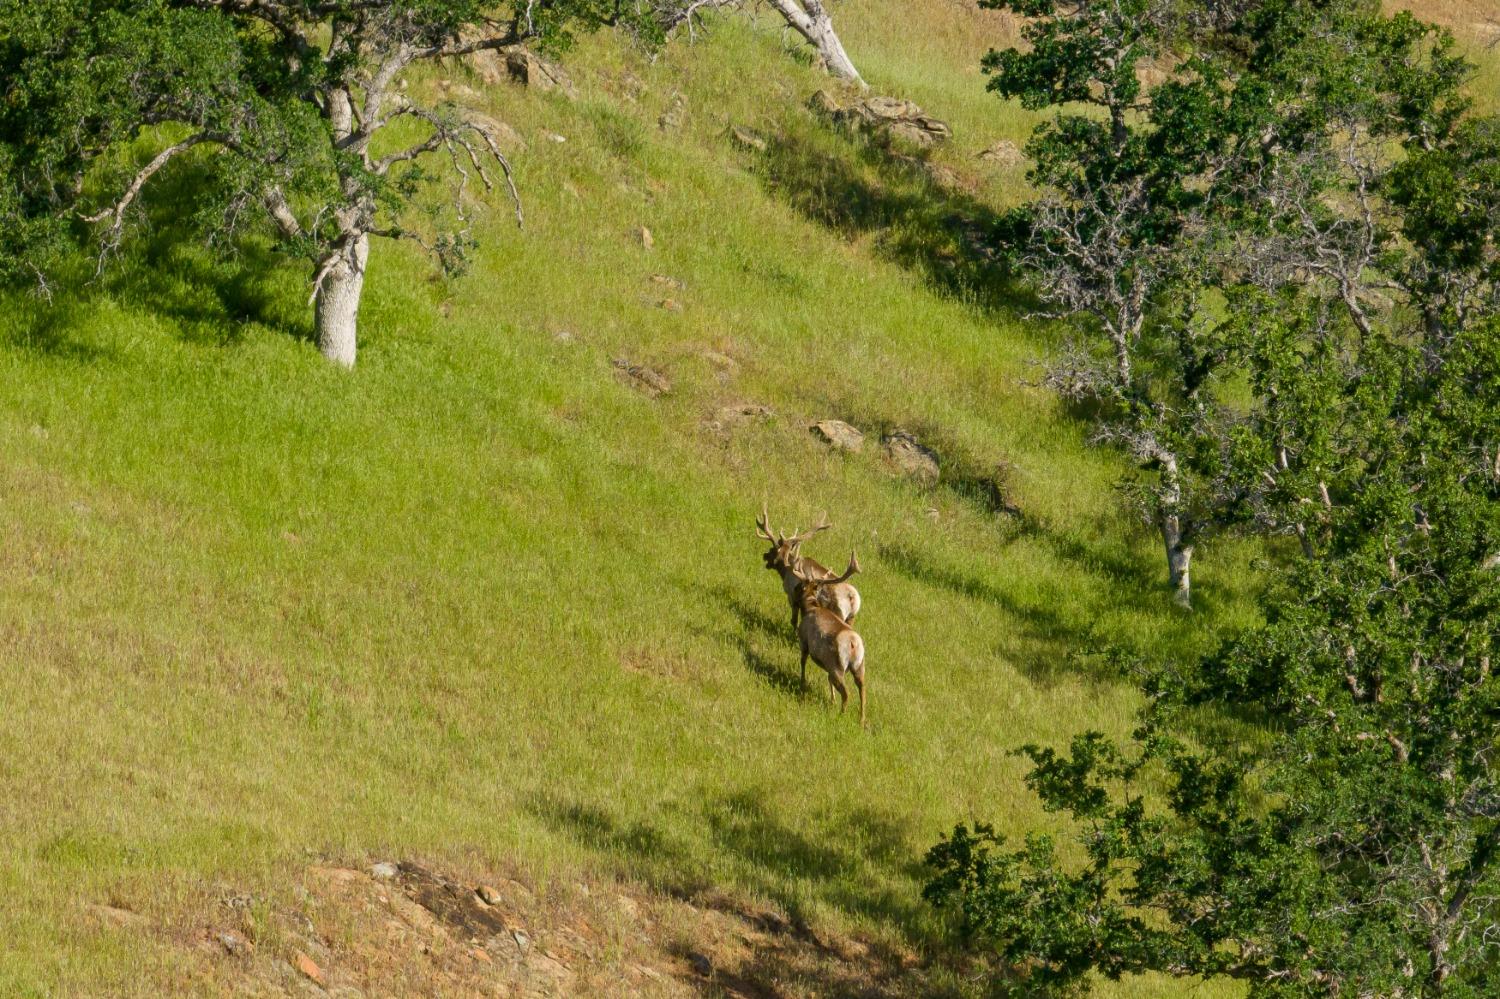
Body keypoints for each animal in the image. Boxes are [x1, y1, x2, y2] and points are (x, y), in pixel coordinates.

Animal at [756, 501, 864, 633]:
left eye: (772, 550)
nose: (764, 555)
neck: (786, 570)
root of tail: (852, 599)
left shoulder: (791, 595)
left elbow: (794, 620)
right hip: (851, 617)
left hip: (838, 611)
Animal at [792, 552, 864, 723]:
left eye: (800, 585)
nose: (793, 590)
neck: (810, 608)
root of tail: (853, 644)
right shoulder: (826, 662)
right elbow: (827, 679)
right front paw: (831, 700)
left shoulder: (804, 641)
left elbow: (802, 661)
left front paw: (802, 681)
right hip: (859, 666)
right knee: (862, 689)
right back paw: (861, 719)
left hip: (838, 666)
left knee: (846, 693)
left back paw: (841, 715)